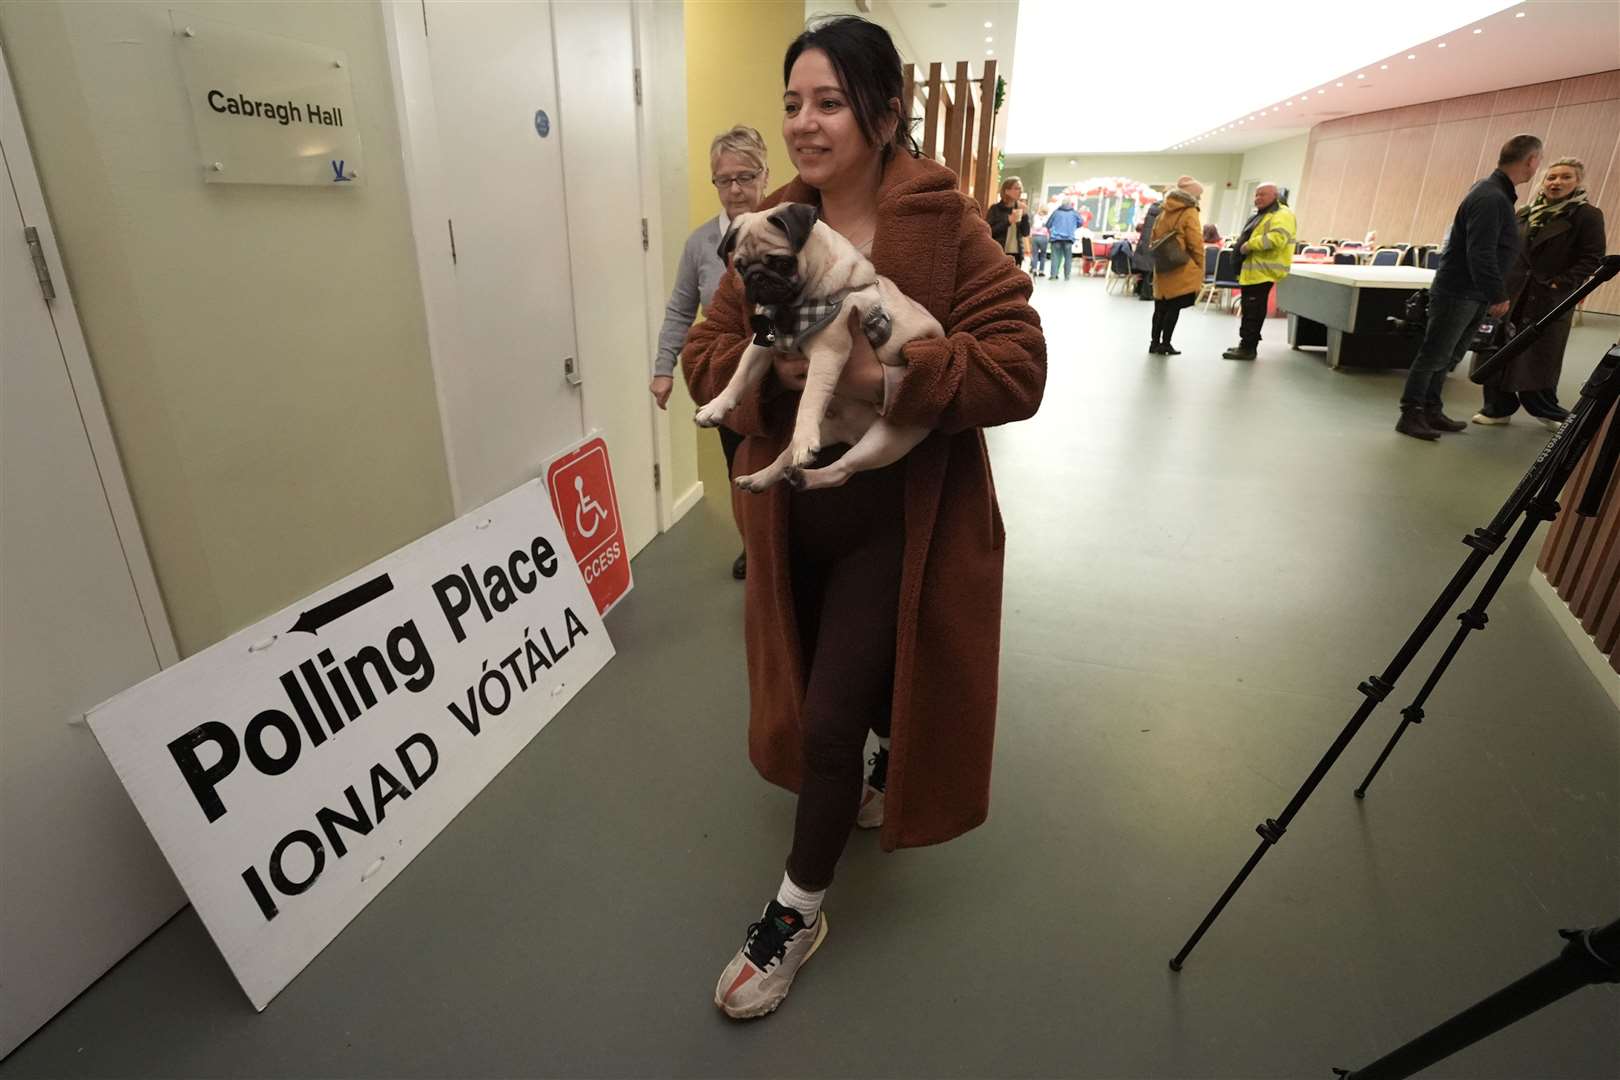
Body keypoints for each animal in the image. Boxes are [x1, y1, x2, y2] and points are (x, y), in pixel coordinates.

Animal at [693, 200, 946, 492]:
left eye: (782, 263)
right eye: (741, 267)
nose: (756, 277)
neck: (791, 309)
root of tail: (852, 433)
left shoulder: (828, 353)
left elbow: (810, 397)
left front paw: (805, 436)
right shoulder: (761, 345)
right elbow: (739, 377)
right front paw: (715, 407)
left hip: (885, 438)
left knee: (842, 470)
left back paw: (805, 469)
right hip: (828, 430)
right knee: (785, 458)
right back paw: (760, 478)